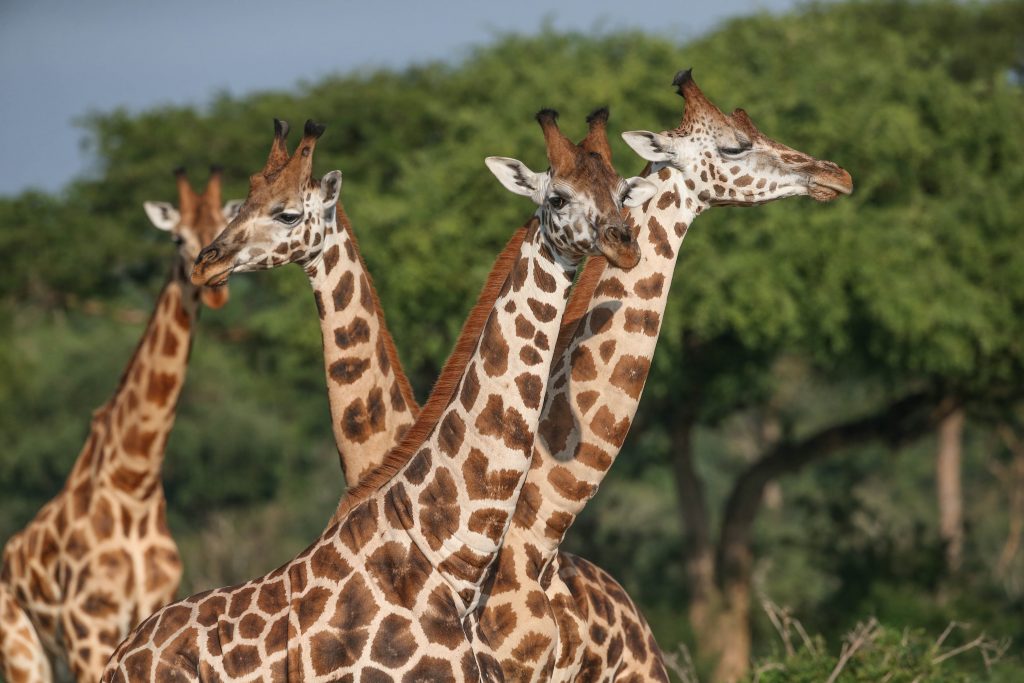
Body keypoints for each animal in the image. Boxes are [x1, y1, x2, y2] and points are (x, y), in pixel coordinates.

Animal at [0, 166, 241, 683]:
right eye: (176, 237)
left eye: (223, 226)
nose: (214, 286)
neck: (133, 480)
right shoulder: (88, 626)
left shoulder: (152, 611)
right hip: (24, 649)